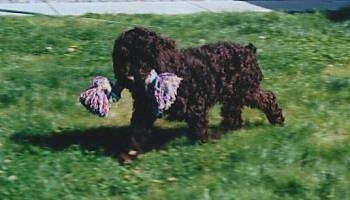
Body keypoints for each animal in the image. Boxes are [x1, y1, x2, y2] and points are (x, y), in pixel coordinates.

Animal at [112, 27, 284, 150]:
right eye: (123, 56)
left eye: (146, 56)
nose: (130, 77)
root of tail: (248, 50)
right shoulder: (144, 109)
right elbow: (137, 130)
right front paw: (129, 153)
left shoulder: (196, 105)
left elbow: (199, 127)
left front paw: (206, 141)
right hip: (242, 93)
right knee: (258, 102)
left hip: (239, 92)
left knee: (250, 107)